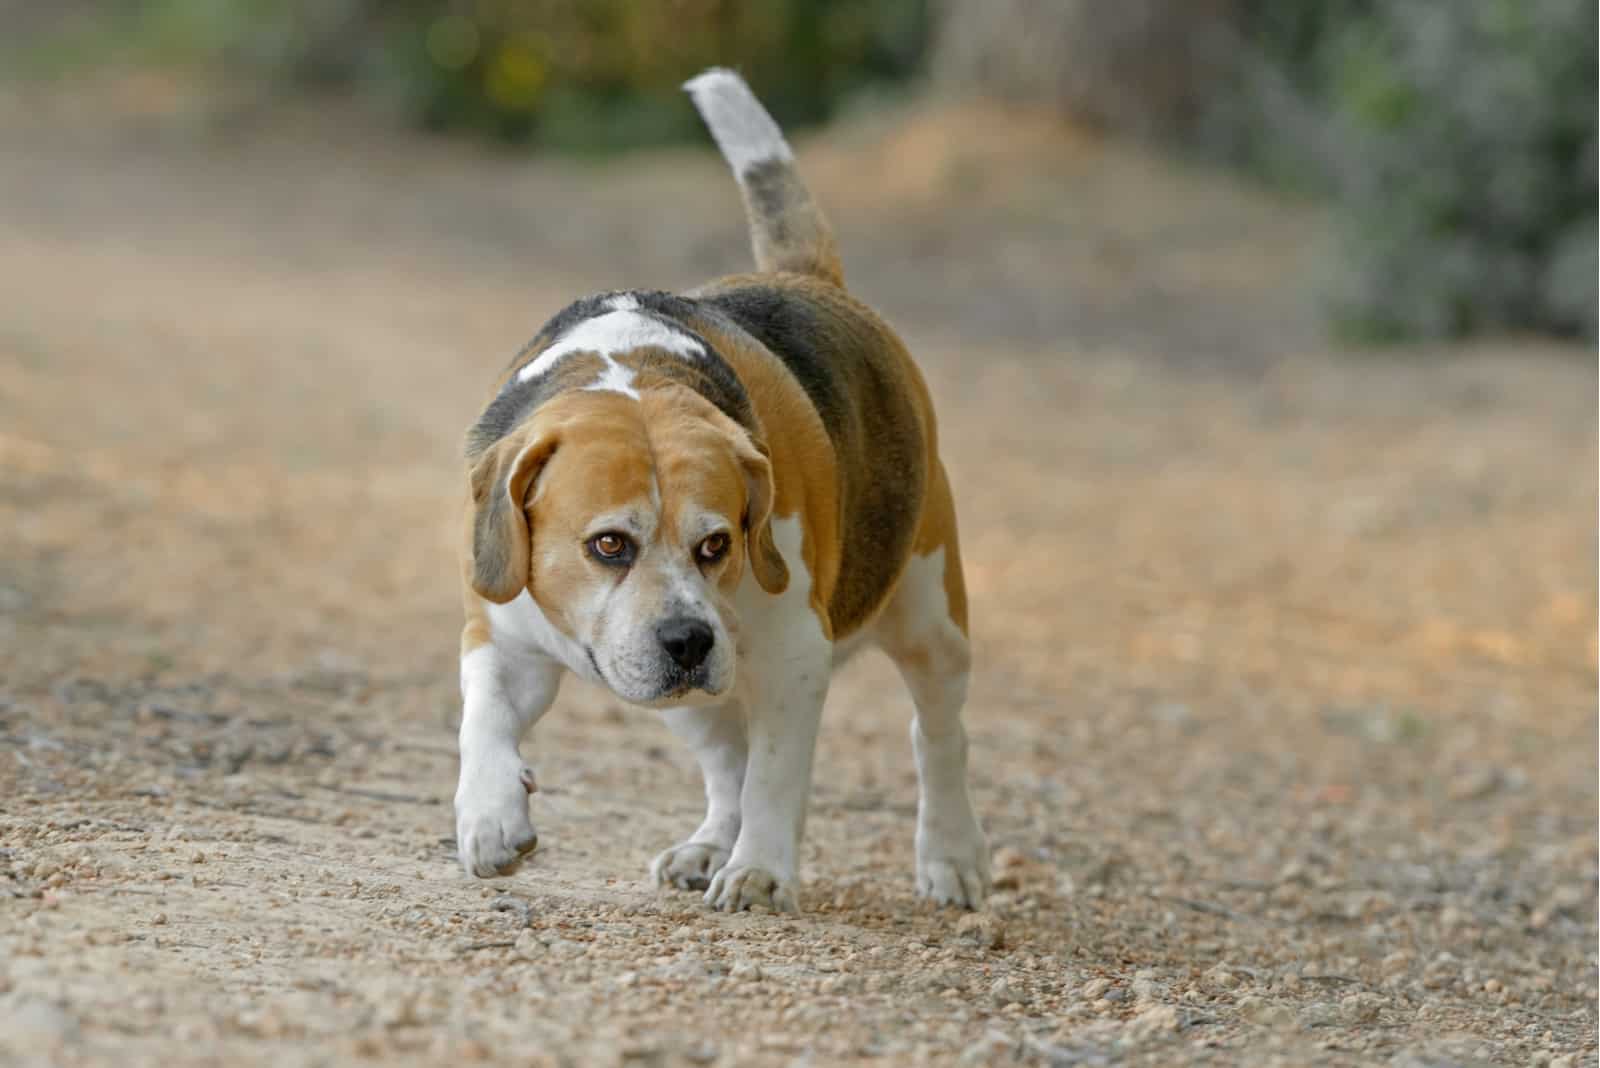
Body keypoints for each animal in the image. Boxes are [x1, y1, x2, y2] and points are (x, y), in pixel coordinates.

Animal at [451, 70, 985, 914]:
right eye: (609, 544)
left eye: (718, 544)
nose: (686, 640)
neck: (635, 369)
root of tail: (808, 278)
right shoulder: (501, 637)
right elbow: (484, 719)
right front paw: (490, 814)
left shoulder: (796, 655)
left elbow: (774, 774)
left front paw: (761, 869)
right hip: (686, 697)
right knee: (725, 756)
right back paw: (709, 845)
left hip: (930, 616)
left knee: (936, 738)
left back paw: (951, 856)